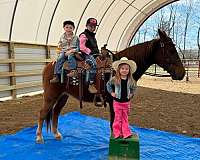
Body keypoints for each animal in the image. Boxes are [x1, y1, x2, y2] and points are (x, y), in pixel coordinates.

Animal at [35, 29, 184, 143]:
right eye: (171, 50)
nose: (182, 73)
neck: (119, 69)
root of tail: (50, 65)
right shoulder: (114, 101)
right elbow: (114, 121)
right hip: (50, 96)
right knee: (43, 113)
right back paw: (39, 137)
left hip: (63, 96)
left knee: (55, 112)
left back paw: (56, 134)